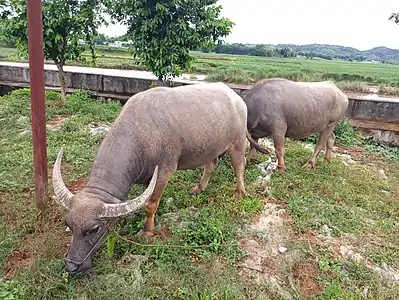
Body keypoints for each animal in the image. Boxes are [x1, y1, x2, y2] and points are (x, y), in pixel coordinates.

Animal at [51, 81, 268, 274]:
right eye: (68, 224)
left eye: (94, 229)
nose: (71, 266)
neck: (140, 135)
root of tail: (236, 98)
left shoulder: (164, 171)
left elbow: (150, 204)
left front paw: (147, 231)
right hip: (209, 147)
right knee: (211, 164)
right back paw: (199, 188)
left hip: (237, 141)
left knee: (239, 165)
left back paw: (239, 192)